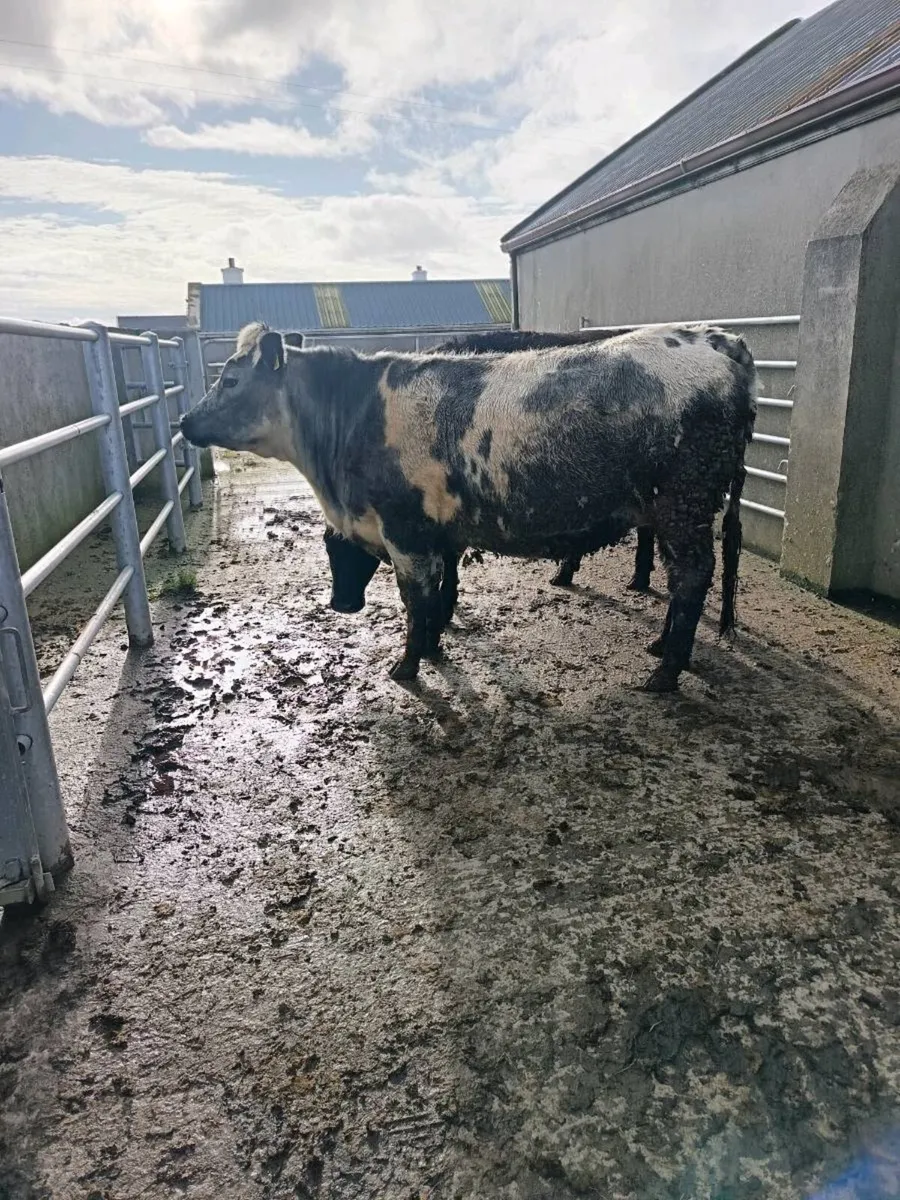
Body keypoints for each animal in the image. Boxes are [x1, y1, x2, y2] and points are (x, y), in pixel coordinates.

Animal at [181, 321, 756, 692]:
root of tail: (716, 338)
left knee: (692, 576)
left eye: (230, 379)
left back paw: (666, 671)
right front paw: (435, 643)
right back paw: (662, 649)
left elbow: (416, 600)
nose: (185, 420)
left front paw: (409, 664)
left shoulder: (406, 532)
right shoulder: (440, 534)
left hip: (683, 505)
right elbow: (440, 593)